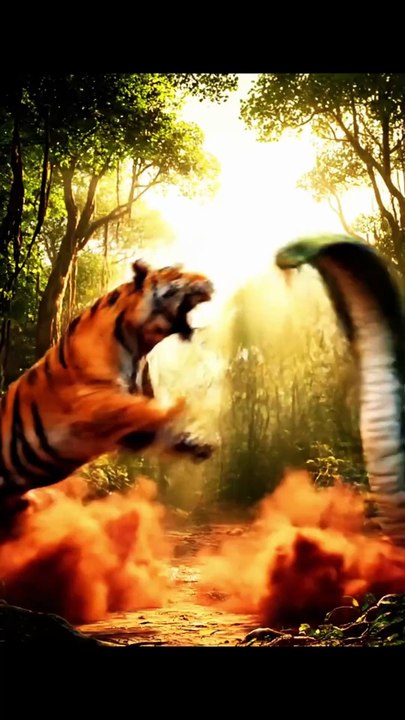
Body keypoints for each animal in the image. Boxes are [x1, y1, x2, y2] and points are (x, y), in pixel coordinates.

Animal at [0, 259, 214, 524]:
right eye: (175, 273)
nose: (208, 281)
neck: (139, 348)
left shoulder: (132, 434)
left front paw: (198, 443)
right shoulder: (91, 403)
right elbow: (136, 408)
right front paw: (177, 406)